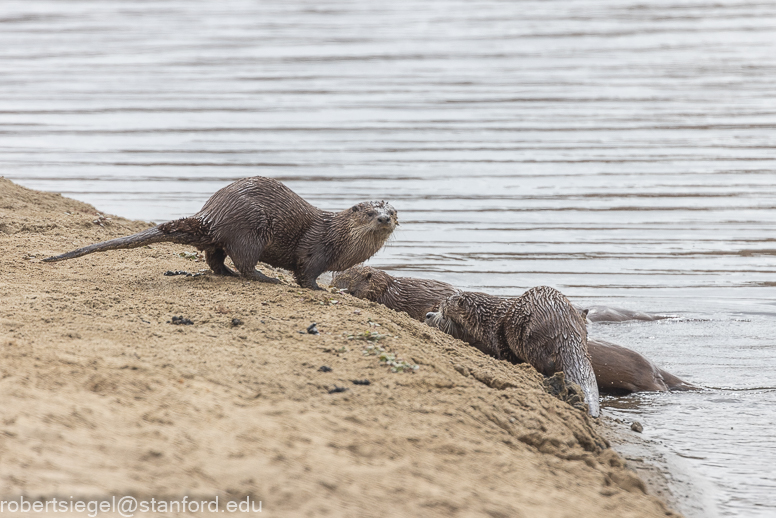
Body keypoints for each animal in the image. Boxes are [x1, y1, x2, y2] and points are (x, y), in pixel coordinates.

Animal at [44, 178, 400, 292]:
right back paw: (268, 278)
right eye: (370, 213)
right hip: (250, 229)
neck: (341, 241)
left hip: (227, 235)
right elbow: (306, 275)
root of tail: (212, 213)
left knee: (214, 257)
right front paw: (323, 290)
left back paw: (226, 273)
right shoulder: (316, 250)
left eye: (393, 212)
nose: (384, 218)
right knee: (245, 263)